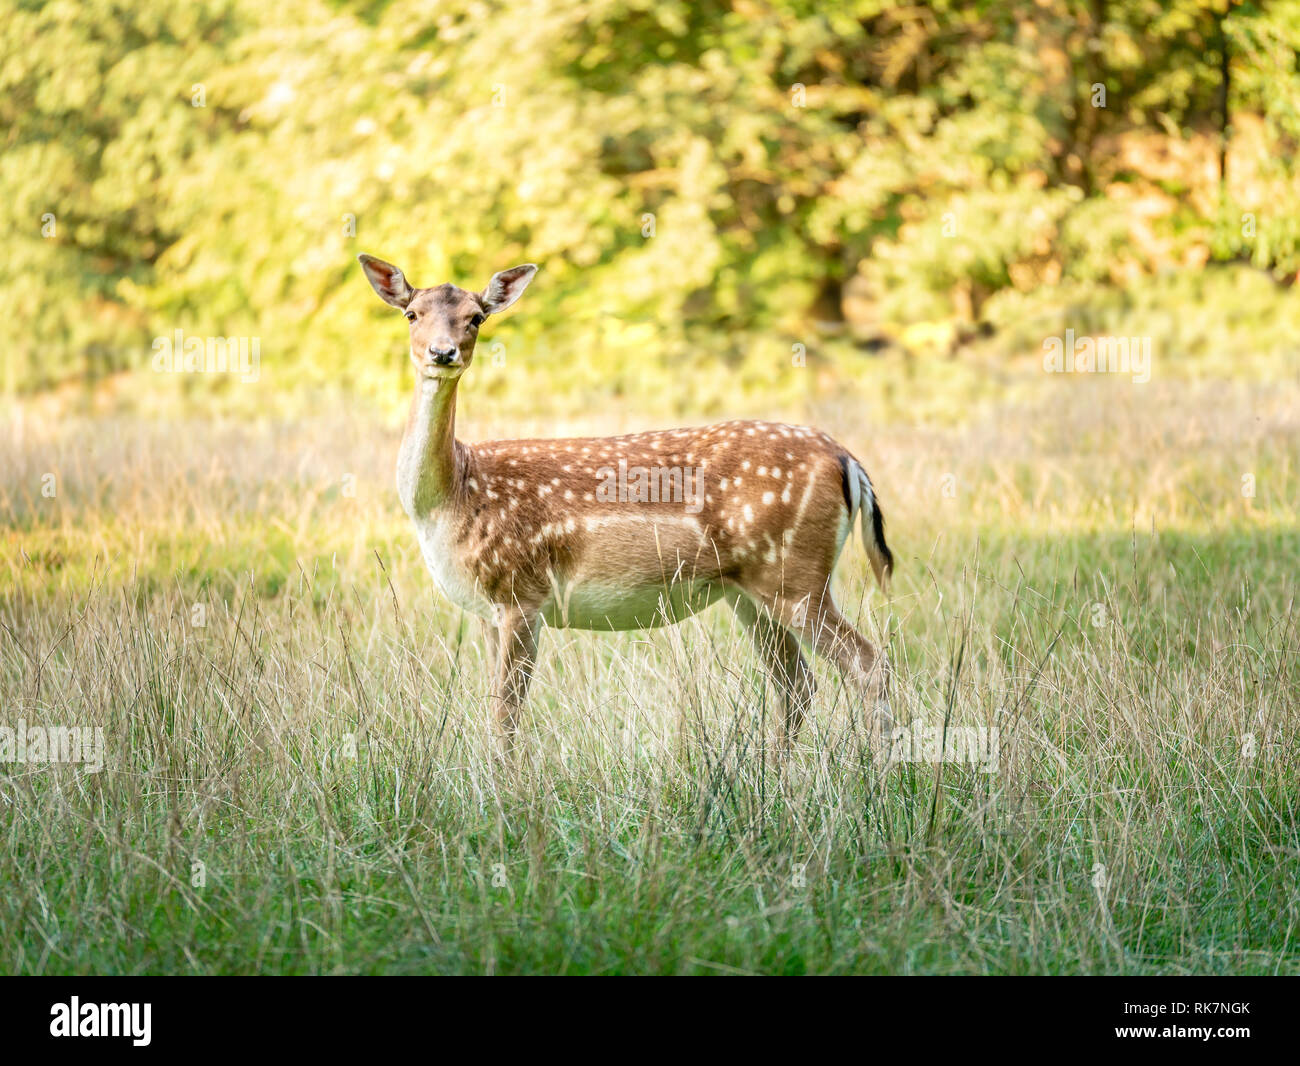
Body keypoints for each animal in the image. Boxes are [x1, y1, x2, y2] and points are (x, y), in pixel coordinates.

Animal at [358, 253, 895, 757]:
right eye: (411, 313)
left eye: (476, 318)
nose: (442, 352)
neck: (453, 497)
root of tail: (846, 459)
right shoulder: (488, 610)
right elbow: (496, 705)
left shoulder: (520, 592)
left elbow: (507, 714)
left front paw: (508, 786)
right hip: (750, 590)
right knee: (797, 682)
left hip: (796, 574)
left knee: (868, 664)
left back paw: (879, 769)